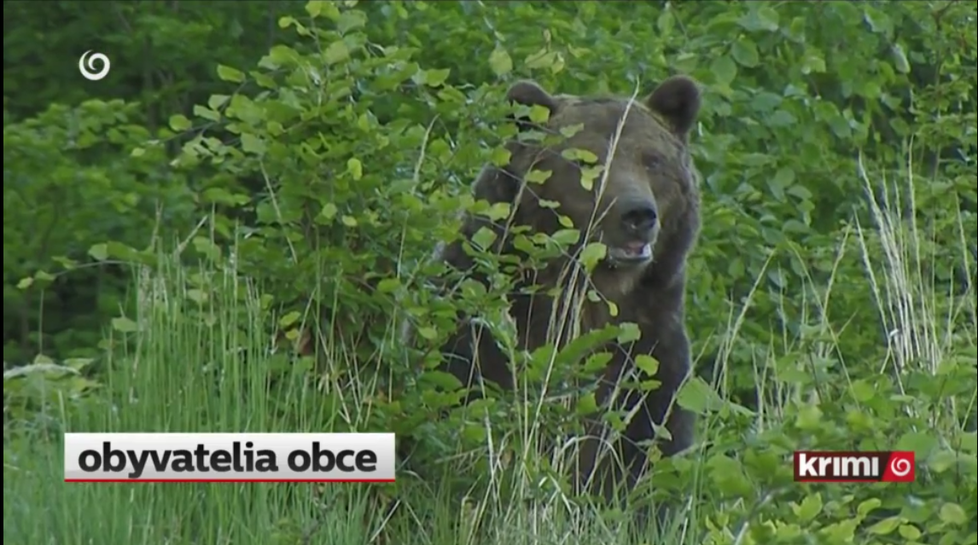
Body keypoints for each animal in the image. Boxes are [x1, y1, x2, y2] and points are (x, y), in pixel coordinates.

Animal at [416, 74, 696, 508]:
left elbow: (647, 450)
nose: (638, 214)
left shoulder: (650, 351)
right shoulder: (480, 330)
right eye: (585, 159)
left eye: (652, 159)